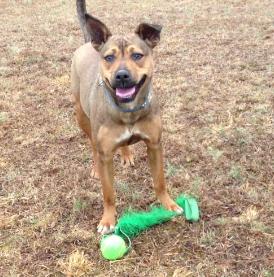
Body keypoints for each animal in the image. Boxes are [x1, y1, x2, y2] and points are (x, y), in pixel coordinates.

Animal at [71, 0, 182, 233]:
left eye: (137, 55)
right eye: (109, 58)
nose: (121, 75)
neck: (128, 111)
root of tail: (88, 43)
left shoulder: (155, 145)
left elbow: (160, 181)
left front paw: (168, 204)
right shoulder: (105, 154)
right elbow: (108, 193)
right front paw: (108, 220)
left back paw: (126, 153)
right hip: (81, 115)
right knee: (92, 143)